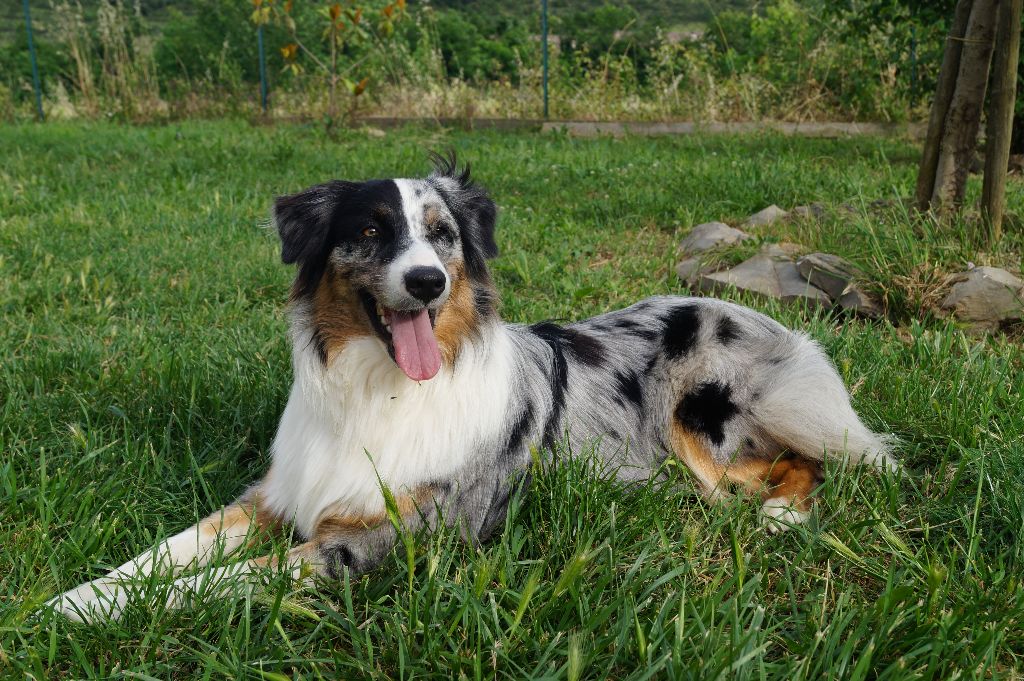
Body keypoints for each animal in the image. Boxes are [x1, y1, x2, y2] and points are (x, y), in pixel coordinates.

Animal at [49, 153, 897, 622]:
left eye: (443, 235)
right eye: (367, 231)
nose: (427, 281)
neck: (378, 386)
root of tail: (767, 317)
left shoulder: (395, 538)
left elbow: (225, 577)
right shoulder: (274, 495)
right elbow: (164, 553)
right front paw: (72, 600)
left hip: (713, 406)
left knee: (822, 461)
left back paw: (782, 513)